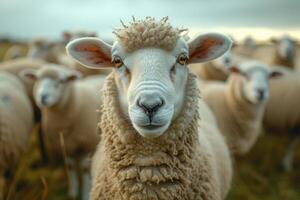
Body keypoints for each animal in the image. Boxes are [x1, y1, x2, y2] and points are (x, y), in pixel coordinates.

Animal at [20, 64, 104, 200]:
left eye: (61, 81)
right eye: (37, 79)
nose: (43, 97)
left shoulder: (87, 145)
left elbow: (85, 169)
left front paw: (85, 194)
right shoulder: (65, 145)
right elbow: (69, 167)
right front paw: (72, 192)